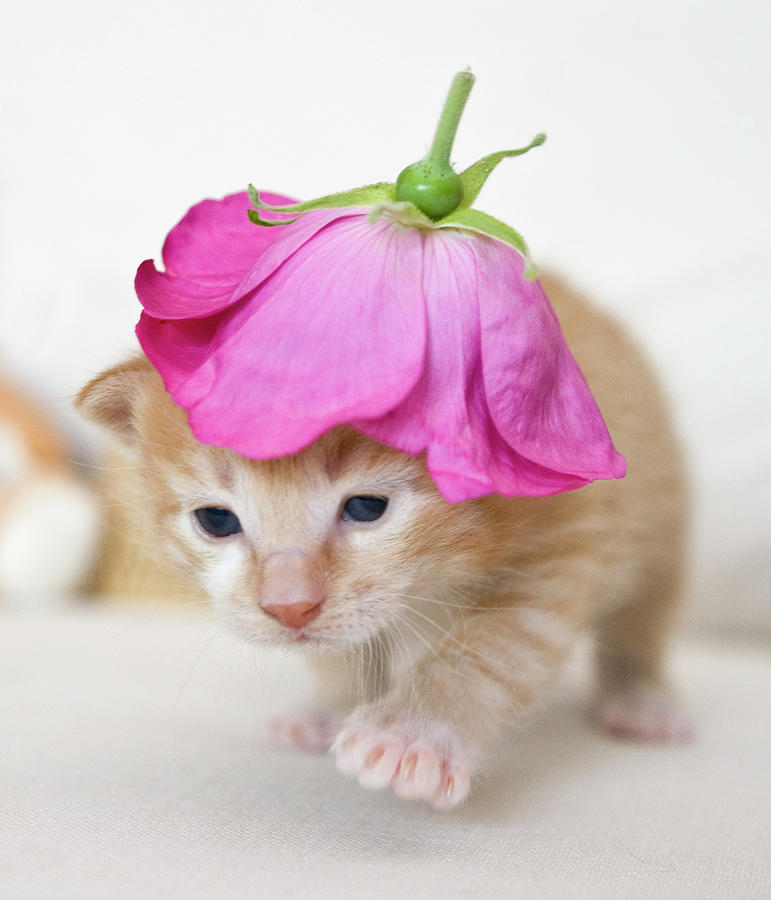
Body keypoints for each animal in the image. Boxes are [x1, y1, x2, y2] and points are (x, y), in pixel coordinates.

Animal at [77, 274, 692, 808]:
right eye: (216, 520)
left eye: (367, 508)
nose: (288, 607)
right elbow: (340, 652)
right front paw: (329, 709)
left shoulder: (556, 542)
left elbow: (491, 652)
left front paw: (409, 735)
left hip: (660, 517)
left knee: (643, 615)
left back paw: (641, 697)